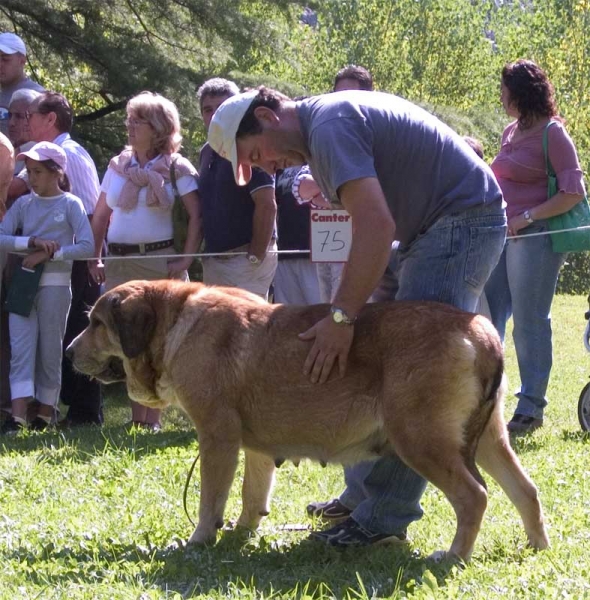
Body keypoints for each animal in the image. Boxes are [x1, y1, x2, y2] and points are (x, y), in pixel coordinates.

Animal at [68, 278, 552, 560]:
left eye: (96, 323)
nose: (69, 352)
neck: (175, 322)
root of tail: (482, 331)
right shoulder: (256, 448)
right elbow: (251, 495)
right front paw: (242, 533)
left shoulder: (217, 438)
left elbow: (211, 500)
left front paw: (200, 541)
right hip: (489, 441)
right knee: (526, 492)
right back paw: (536, 546)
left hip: (421, 441)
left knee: (474, 497)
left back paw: (453, 556)